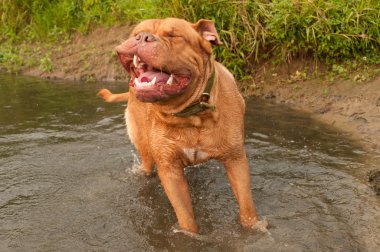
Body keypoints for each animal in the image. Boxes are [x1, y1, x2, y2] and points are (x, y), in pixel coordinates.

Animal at [97, 18, 264, 234]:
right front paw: (190, 235)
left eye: (174, 35)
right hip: (144, 147)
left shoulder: (236, 160)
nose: (142, 37)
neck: (190, 115)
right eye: (136, 33)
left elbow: (246, 205)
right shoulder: (170, 170)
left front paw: (254, 228)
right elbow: (185, 216)